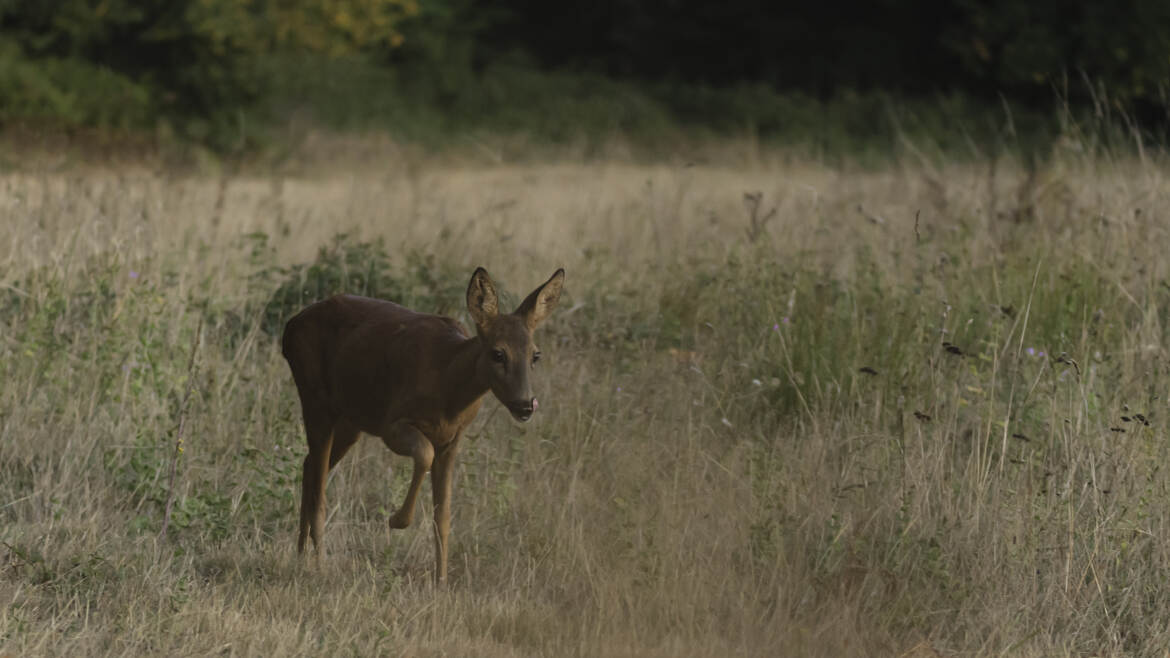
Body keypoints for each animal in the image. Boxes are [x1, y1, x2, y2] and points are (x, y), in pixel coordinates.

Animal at [278, 263, 561, 580]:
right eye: (498, 353)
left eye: (535, 355)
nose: (525, 405)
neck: (447, 382)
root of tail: (290, 327)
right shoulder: (392, 423)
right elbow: (424, 455)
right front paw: (397, 520)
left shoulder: (453, 439)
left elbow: (444, 514)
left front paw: (441, 581)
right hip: (314, 397)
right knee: (319, 486)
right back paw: (319, 566)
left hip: (351, 420)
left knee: (310, 465)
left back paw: (301, 554)